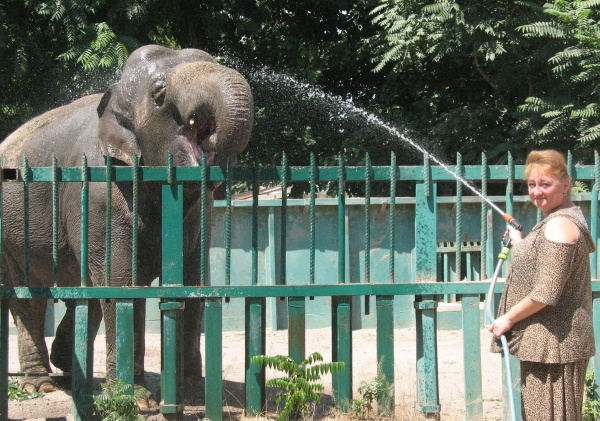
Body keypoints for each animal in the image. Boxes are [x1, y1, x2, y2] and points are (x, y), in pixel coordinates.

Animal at [0, 44, 253, 405]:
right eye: (159, 93)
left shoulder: (199, 214)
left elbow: (194, 281)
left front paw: (192, 393)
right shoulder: (100, 194)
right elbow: (122, 284)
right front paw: (138, 399)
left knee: (84, 294)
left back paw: (70, 371)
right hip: (11, 236)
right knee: (31, 299)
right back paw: (40, 385)